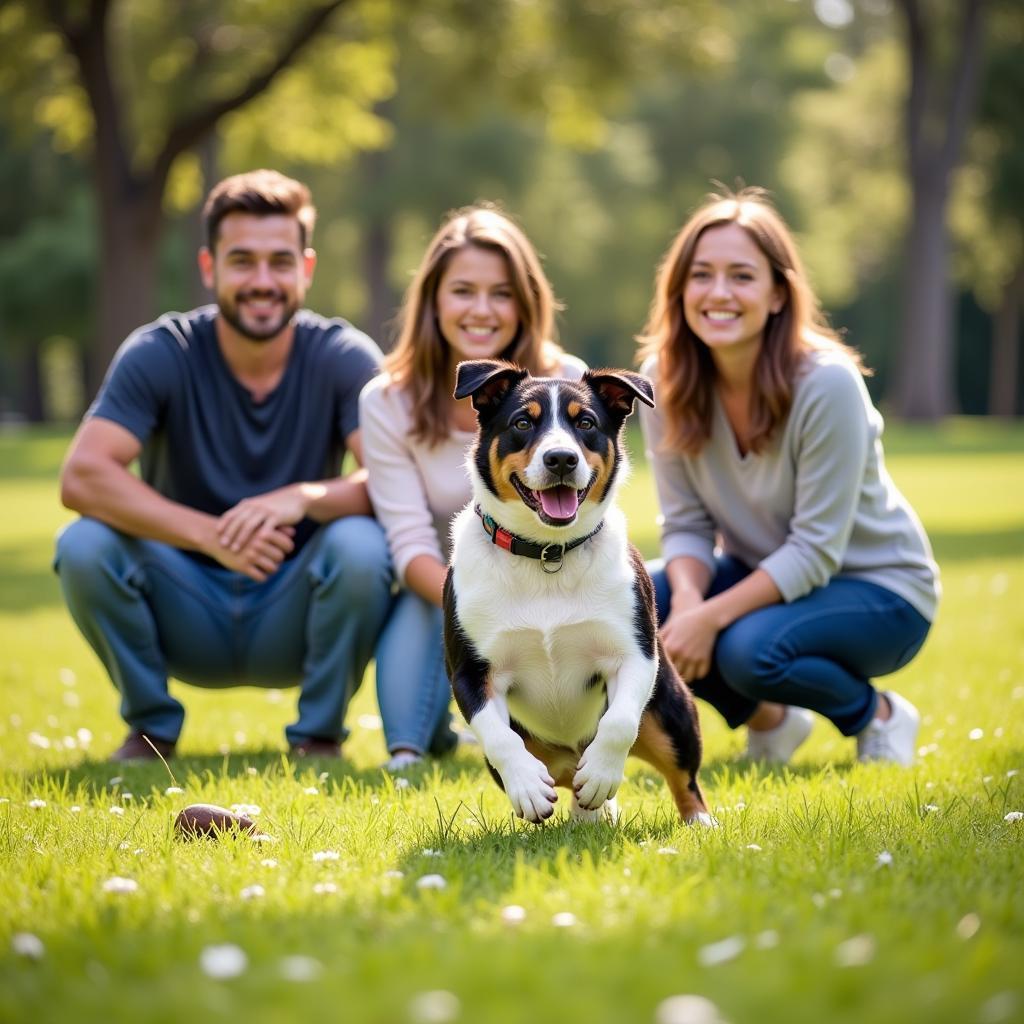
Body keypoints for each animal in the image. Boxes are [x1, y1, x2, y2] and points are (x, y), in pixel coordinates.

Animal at [440, 360, 712, 823]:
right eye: (523, 422)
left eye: (585, 422)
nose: (561, 458)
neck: (547, 555)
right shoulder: (471, 672)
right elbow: (499, 737)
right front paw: (528, 787)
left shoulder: (635, 655)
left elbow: (618, 724)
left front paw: (602, 773)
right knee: (565, 779)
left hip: (671, 713)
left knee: (682, 778)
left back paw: (697, 823)